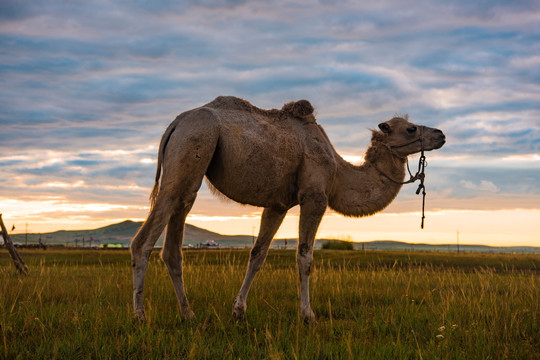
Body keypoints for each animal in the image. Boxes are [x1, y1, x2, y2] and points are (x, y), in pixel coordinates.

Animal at [129, 96, 446, 324]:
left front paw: (238, 311)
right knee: (142, 241)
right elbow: (305, 257)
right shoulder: (314, 196)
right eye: (411, 128)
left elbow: (257, 255)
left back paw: (188, 314)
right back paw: (140, 317)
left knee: (173, 246)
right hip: (192, 148)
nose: (441, 134)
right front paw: (308, 316)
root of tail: (175, 124)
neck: (339, 171)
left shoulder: (277, 204)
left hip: (191, 170)